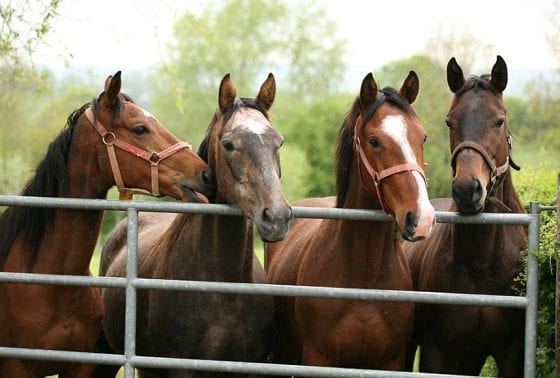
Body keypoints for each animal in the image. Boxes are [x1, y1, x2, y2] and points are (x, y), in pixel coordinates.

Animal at [264, 71, 436, 372]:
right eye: (374, 141)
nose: (422, 217)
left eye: (422, 137)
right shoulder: (318, 359)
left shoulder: (391, 362)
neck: (364, 276)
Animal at [404, 55, 528, 376]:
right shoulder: (437, 352)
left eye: (499, 120)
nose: (466, 190)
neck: (480, 262)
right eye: (450, 121)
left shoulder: (512, 352)